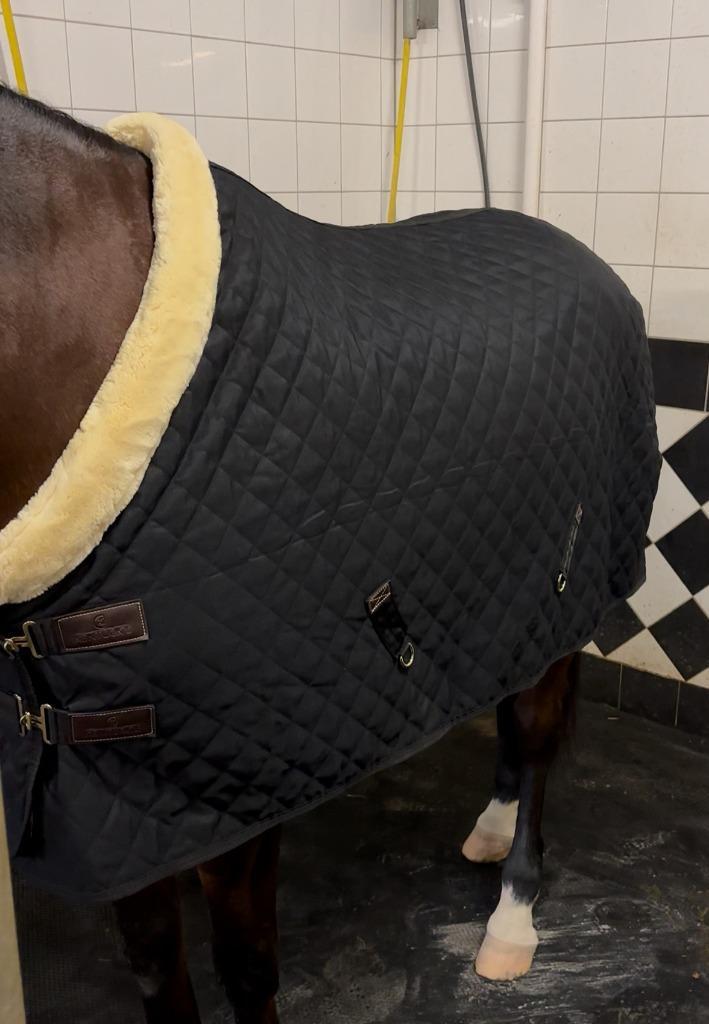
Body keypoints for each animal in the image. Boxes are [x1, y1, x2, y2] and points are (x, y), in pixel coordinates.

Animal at [0, 87, 658, 1024]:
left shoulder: (235, 797)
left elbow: (246, 970)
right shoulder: (122, 809)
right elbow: (158, 974)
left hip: (566, 592)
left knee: (534, 744)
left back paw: (511, 918)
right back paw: (490, 829)